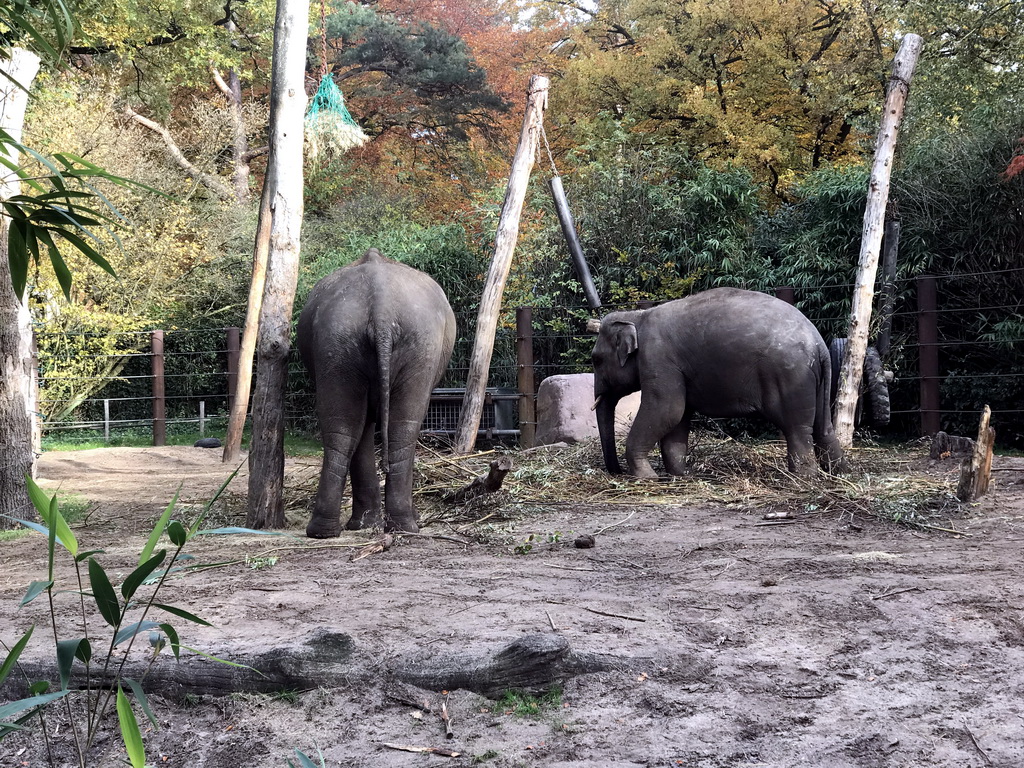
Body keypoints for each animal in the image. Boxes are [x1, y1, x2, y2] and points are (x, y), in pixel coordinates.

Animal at [296, 249, 456, 536]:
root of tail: (382, 310)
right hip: (418, 344)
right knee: (402, 429)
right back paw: (403, 525)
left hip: (337, 342)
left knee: (344, 429)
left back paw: (326, 530)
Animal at [593, 288, 847, 481]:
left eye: (596, 359)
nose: (616, 472)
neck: (637, 316)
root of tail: (818, 343)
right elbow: (677, 417)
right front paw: (680, 474)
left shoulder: (658, 360)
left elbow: (666, 410)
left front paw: (646, 477)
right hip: (817, 378)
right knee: (824, 427)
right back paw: (839, 474)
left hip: (790, 376)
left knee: (797, 428)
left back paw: (802, 478)